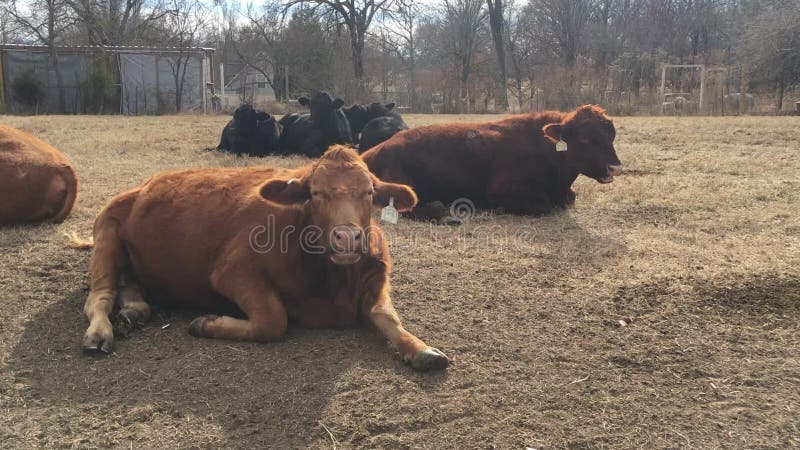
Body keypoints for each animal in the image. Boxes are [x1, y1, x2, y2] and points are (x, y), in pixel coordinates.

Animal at [82, 146, 450, 370]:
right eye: (315, 193)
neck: (334, 285)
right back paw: (100, 333)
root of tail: (138, 188)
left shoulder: (376, 282)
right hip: (105, 237)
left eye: (370, 193)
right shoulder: (232, 271)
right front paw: (207, 323)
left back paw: (132, 312)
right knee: (99, 297)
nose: (347, 237)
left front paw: (420, 348)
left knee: (131, 287)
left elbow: (388, 317)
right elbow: (273, 320)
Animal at [362, 104, 624, 219]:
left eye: (611, 135)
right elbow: (543, 206)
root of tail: (372, 152)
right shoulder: (503, 191)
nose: (615, 167)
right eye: (585, 139)